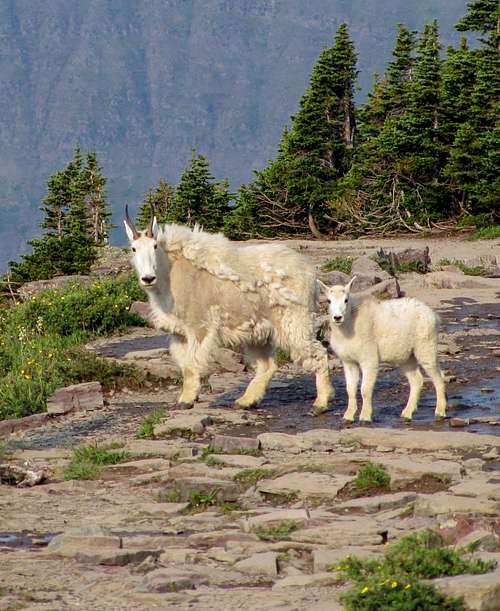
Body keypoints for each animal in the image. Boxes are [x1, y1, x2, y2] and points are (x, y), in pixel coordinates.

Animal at [124, 208, 332, 414]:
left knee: (318, 353)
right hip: (260, 330)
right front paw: (191, 395)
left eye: (154, 246)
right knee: (268, 365)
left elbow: (191, 364)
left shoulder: (199, 327)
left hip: (294, 320)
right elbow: (184, 366)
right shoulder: (179, 333)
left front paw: (186, 401)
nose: (148, 278)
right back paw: (246, 401)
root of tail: (310, 274)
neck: (170, 276)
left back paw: (320, 403)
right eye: (133, 248)